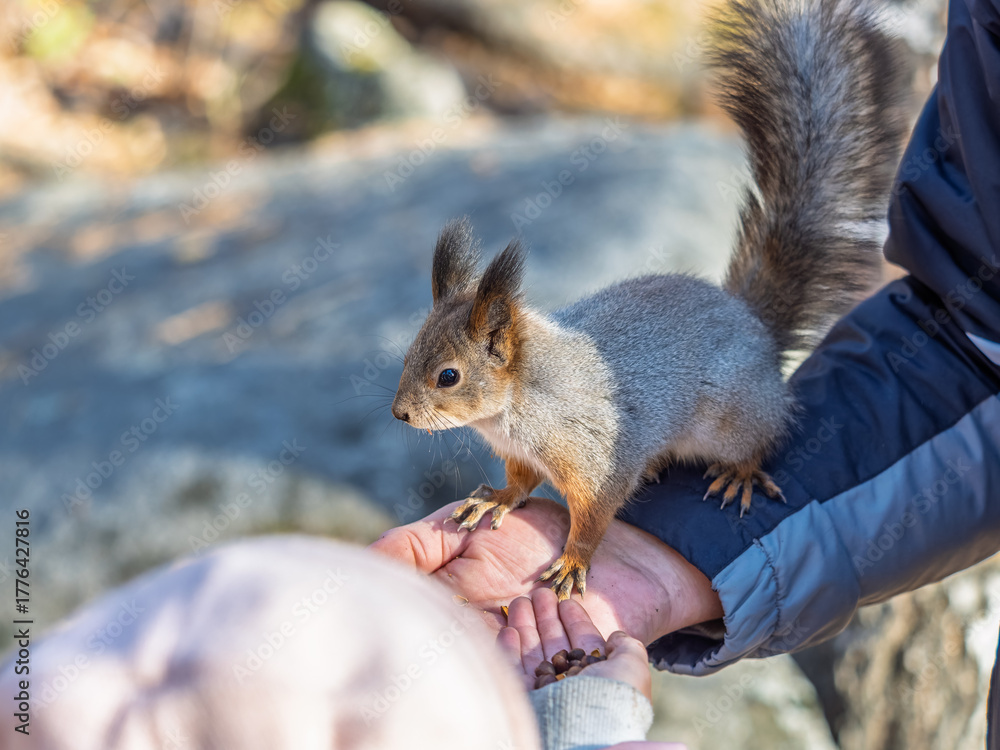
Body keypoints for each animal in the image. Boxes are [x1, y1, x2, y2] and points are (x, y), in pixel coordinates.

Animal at [391, 0, 907, 599]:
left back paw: (739, 473)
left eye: (448, 376)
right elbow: (520, 483)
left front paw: (574, 562)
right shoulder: (519, 455)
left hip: (733, 416)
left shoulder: (597, 455)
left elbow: (595, 514)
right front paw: (495, 499)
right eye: (409, 353)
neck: (513, 410)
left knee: (761, 438)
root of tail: (753, 324)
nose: (400, 414)